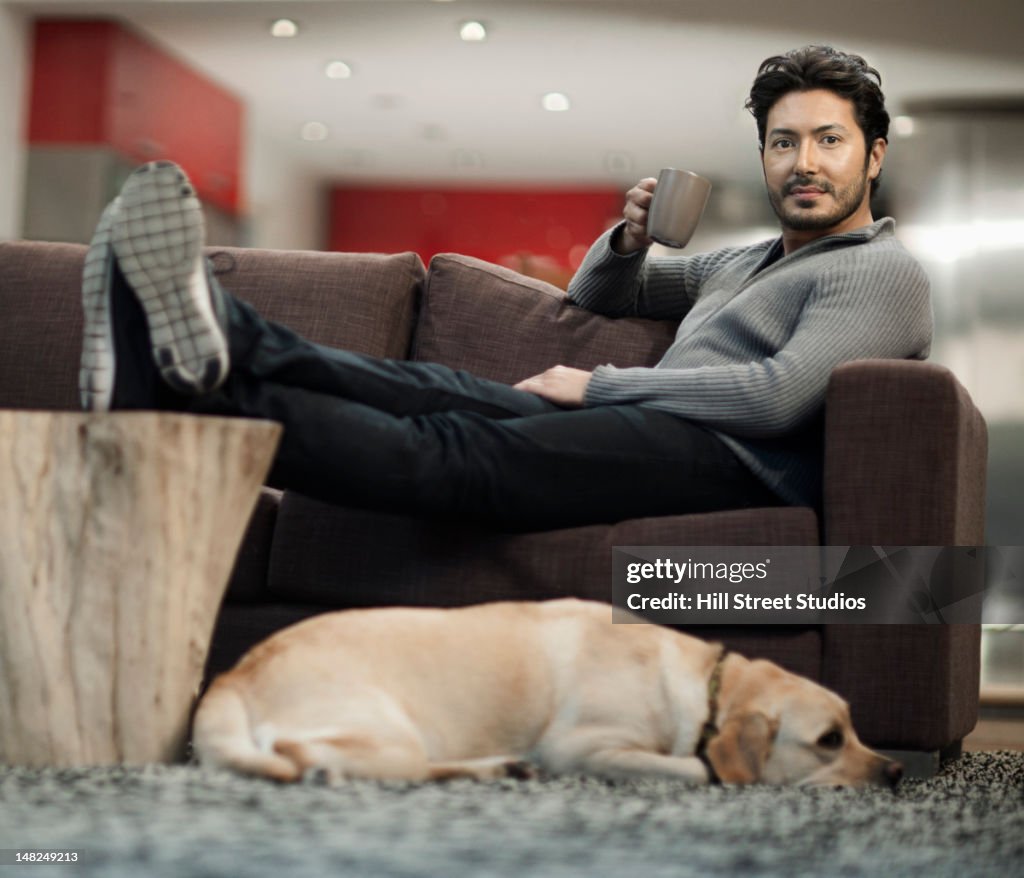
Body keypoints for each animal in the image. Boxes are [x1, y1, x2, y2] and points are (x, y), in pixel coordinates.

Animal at [192, 594, 905, 786]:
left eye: (855, 728)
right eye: (829, 740)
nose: (898, 772)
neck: (709, 684)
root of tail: (232, 675)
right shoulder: (581, 749)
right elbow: (695, 768)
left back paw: (498, 768)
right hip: (394, 735)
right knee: (308, 757)